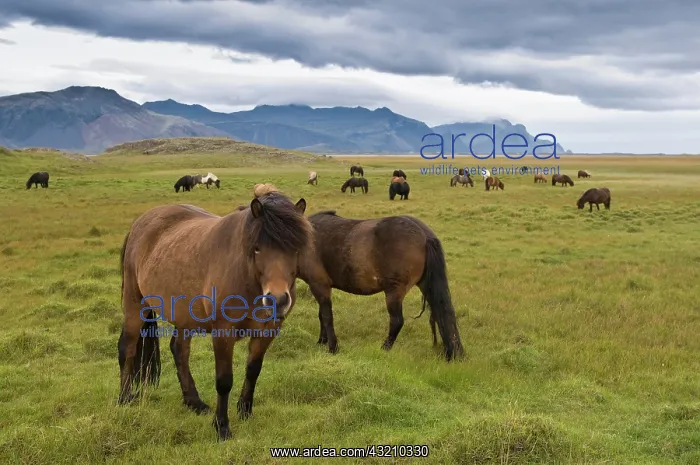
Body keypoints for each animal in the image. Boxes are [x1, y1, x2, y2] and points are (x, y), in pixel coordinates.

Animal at [117, 192, 313, 441]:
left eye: (295, 248)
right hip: (135, 304)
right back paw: (124, 398)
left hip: (184, 316)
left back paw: (194, 402)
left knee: (179, 350)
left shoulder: (268, 330)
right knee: (128, 348)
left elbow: (253, 370)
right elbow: (224, 380)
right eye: (257, 248)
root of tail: (139, 223)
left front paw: (245, 410)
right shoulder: (223, 332)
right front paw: (222, 426)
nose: (277, 300)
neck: (246, 276)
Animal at [296, 211, 465, 361]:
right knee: (443, 314)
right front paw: (322, 341)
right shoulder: (321, 287)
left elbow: (326, 316)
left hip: (394, 291)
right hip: (427, 286)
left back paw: (384, 348)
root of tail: (425, 235)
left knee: (397, 321)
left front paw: (331, 347)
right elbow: (321, 315)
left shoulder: (319, 285)